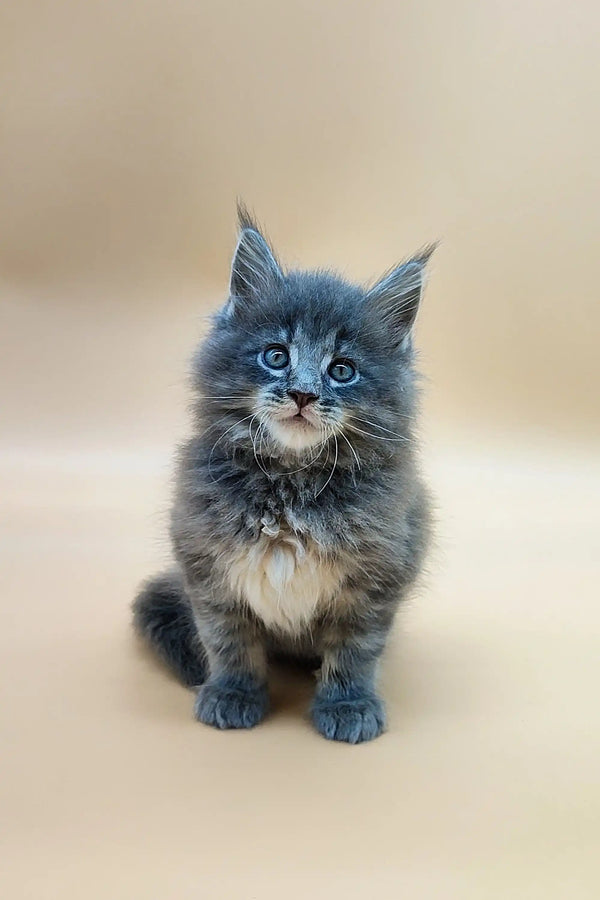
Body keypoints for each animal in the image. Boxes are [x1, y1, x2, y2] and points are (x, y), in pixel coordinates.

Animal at [134, 207, 434, 740]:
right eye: (276, 356)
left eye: (342, 370)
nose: (302, 394)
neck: (290, 482)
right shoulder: (205, 564)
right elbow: (228, 640)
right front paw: (232, 694)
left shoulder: (380, 574)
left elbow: (356, 649)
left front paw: (348, 704)